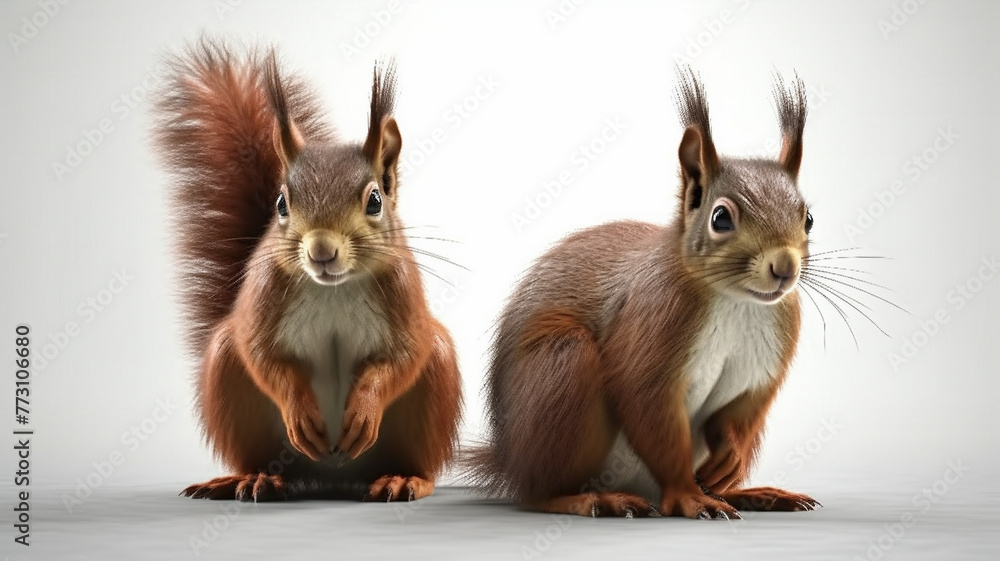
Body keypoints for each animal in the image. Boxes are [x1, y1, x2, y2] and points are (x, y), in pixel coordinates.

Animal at [151, 39, 462, 502]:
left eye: (375, 200)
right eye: (282, 203)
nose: (321, 251)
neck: (334, 287)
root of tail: (334, 478)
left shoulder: (403, 297)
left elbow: (404, 355)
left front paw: (365, 407)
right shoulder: (263, 297)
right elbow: (261, 355)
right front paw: (298, 407)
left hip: (432, 393)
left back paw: (404, 478)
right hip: (230, 381)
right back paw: (252, 478)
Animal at [465, 67, 822, 519]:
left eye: (808, 218)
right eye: (720, 218)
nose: (784, 268)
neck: (737, 301)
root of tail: (510, 460)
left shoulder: (762, 370)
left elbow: (741, 416)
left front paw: (730, 459)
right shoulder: (652, 326)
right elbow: (651, 413)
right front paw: (689, 497)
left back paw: (749, 492)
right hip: (561, 371)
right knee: (539, 492)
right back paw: (596, 499)